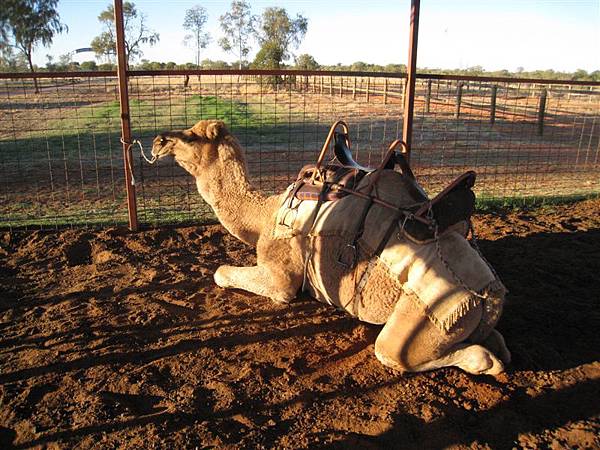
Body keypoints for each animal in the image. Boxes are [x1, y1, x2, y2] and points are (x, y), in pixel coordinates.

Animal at [151, 119, 510, 376]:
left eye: (192, 137)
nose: (158, 141)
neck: (265, 214)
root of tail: (489, 292)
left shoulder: (282, 276)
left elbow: (222, 273)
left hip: (434, 311)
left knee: (402, 352)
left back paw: (485, 360)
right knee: (495, 341)